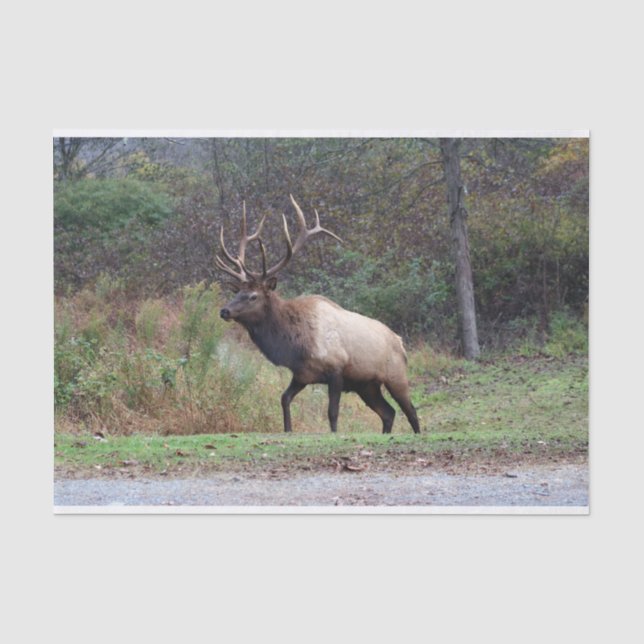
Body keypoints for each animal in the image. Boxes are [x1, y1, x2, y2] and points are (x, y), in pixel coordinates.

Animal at [216, 195, 421, 435]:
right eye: (237, 292)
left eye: (253, 296)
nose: (224, 310)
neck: (295, 345)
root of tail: (400, 341)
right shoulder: (302, 375)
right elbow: (284, 399)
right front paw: (288, 430)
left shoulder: (336, 370)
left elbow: (332, 412)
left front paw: (334, 433)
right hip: (367, 385)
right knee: (389, 413)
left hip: (396, 375)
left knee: (411, 411)